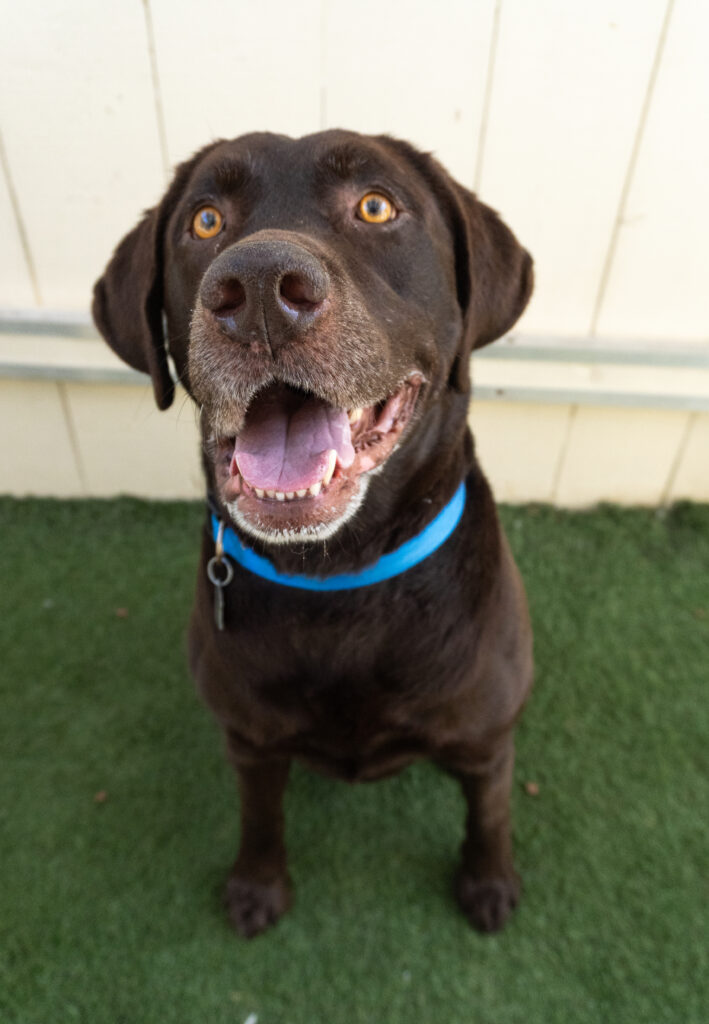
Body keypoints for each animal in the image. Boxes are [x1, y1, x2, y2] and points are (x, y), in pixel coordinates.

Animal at [93, 129, 534, 937]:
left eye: (375, 206)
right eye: (204, 220)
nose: (260, 286)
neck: (336, 575)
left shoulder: (486, 739)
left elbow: (488, 812)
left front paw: (488, 883)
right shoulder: (249, 742)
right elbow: (260, 817)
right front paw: (257, 886)